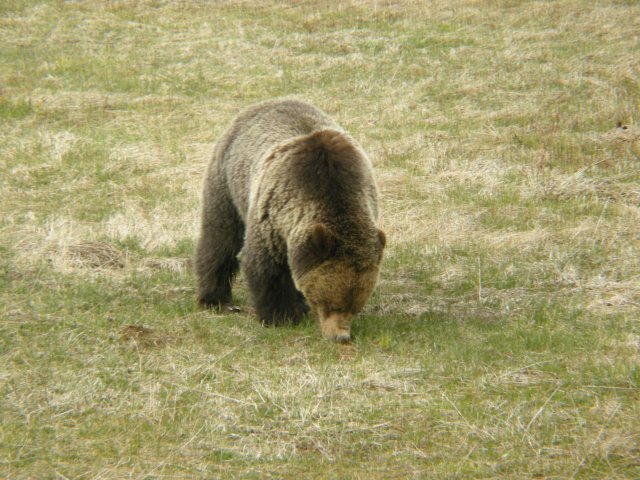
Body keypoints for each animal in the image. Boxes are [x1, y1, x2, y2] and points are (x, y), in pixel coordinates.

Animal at [195, 98, 384, 342]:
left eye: (355, 307)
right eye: (330, 304)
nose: (341, 337)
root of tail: (266, 102)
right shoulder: (273, 213)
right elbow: (265, 267)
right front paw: (280, 316)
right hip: (227, 181)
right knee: (220, 238)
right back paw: (215, 298)